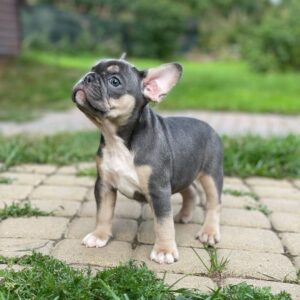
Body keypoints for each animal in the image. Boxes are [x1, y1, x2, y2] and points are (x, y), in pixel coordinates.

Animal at [72, 56, 223, 264]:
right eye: (91, 69)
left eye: (114, 81)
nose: (88, 77)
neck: (119, 140)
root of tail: (210, 128)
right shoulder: (104, 184)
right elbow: (103, 213)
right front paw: (99, 236)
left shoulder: (158, 189)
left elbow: (163, 223)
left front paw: (164, 250)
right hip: (181, 173)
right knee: (190, 191)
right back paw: (184, 215)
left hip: (211, 174)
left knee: (214, 203)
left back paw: (209, 232)